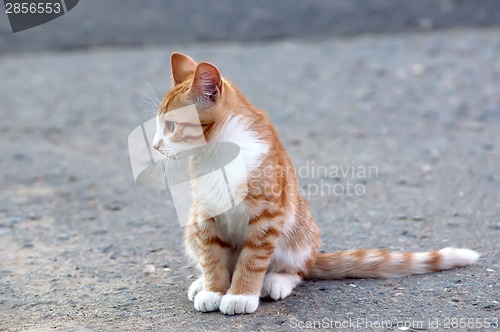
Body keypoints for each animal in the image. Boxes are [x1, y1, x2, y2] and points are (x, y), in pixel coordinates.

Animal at [153, 53, 480, 316]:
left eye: (171, 126)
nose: (155, 145)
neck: (217, 153)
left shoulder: (268, 216)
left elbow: (252, 259)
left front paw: (241, 294)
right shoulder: (204, 213)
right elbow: (211, 256)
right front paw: (213, 289)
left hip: (297, 234)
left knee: (297, 270)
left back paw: (275, 281)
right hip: (192, 229)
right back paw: (202, 283)